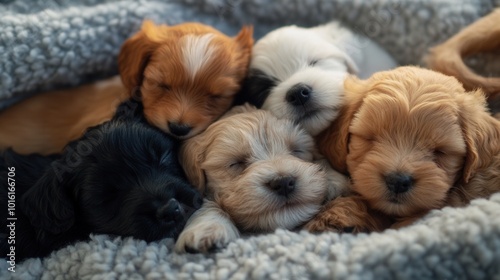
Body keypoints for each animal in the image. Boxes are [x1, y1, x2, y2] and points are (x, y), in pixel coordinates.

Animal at [174, 105, 346, 254]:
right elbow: (207, 203)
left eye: (297, 151)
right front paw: (209, 227)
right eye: (236, 163)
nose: (283, 183)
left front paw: (335, 180)